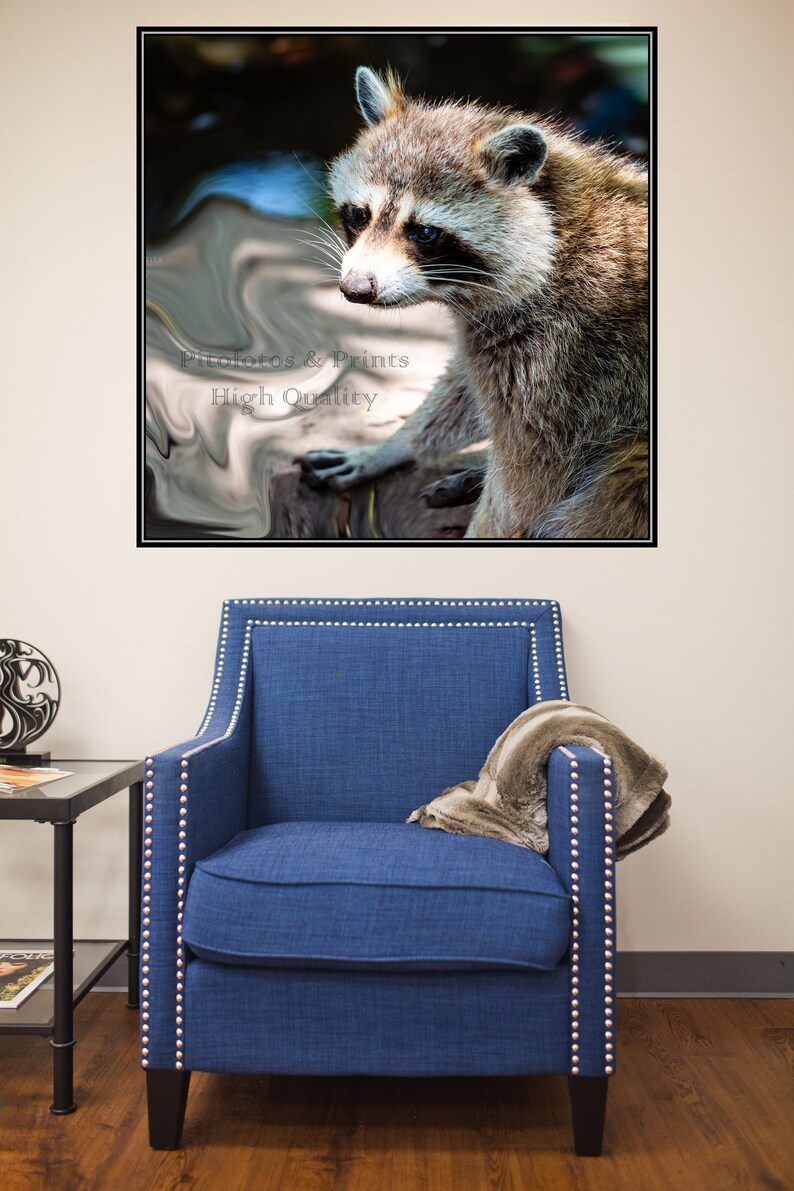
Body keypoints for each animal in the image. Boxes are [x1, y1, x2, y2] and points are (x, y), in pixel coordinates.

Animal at [300, 66, 650, 540]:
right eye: (360, 215)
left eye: (424, 232)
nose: (355, 288)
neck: (556, 240)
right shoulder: (499, 336)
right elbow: (460, 394)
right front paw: (394, 445)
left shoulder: (563, 366)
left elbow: (524, 494)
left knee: (613, 493)